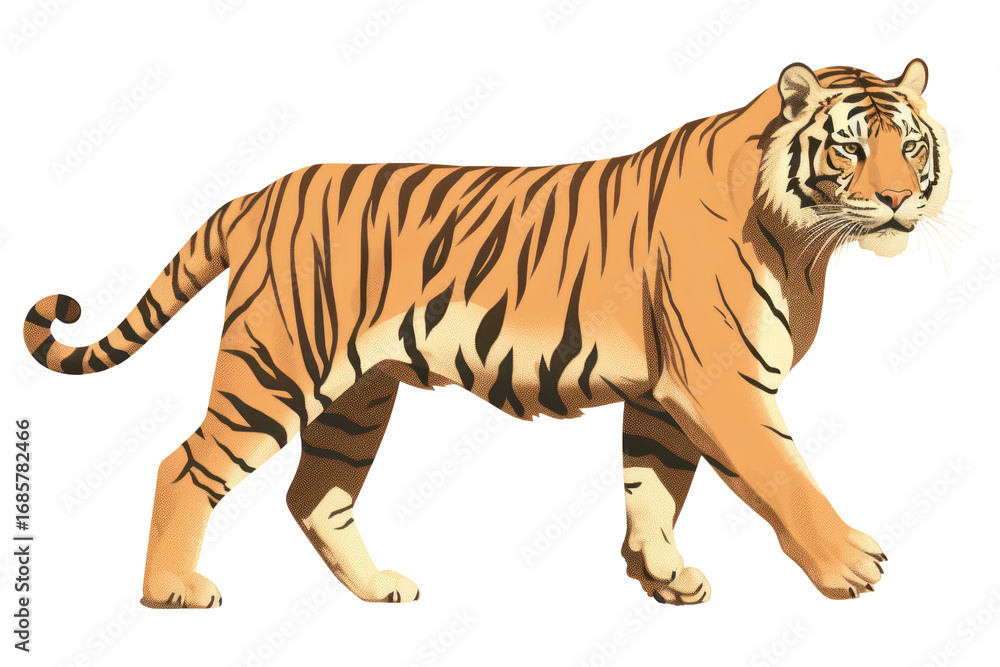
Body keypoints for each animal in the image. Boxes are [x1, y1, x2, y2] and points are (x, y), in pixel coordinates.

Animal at [23, 59, 950, 608]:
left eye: (910, 145)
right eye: (849, 150)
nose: (901, 199)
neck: (805, 240)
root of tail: (258, 194)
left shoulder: (662, 394)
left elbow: (651, 486)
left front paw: (661, 576)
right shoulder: (721, 382)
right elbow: (786, 479)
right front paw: (850, 564)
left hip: (358, 396)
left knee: (314, 493)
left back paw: (378, 588)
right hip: (276, 366)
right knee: (184, 464)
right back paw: (173, 590)